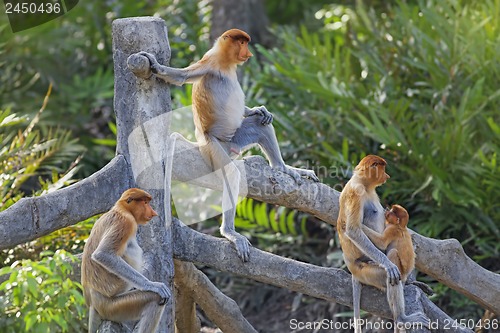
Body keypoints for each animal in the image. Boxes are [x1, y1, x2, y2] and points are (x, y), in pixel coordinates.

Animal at [140, 29, 320, 262]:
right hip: (214, 148)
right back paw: (230, 232)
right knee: (232, 173)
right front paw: (155, 65)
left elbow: (258, 116)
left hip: (235, 138)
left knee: (260, 126)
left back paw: (283, 168)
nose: (248, 53)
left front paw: (258, 109)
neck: (226, 63)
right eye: (242, 42)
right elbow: (182, 77)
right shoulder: (209, 61)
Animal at [336, 156, 430, 332]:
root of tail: (352, 268)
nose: (387, 176)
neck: (363, 183)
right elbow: (353, 230)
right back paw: (401, 319)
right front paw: (389, 265)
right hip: (367, 271)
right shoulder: (356, 192)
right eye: (383, 168)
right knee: (390, 271)